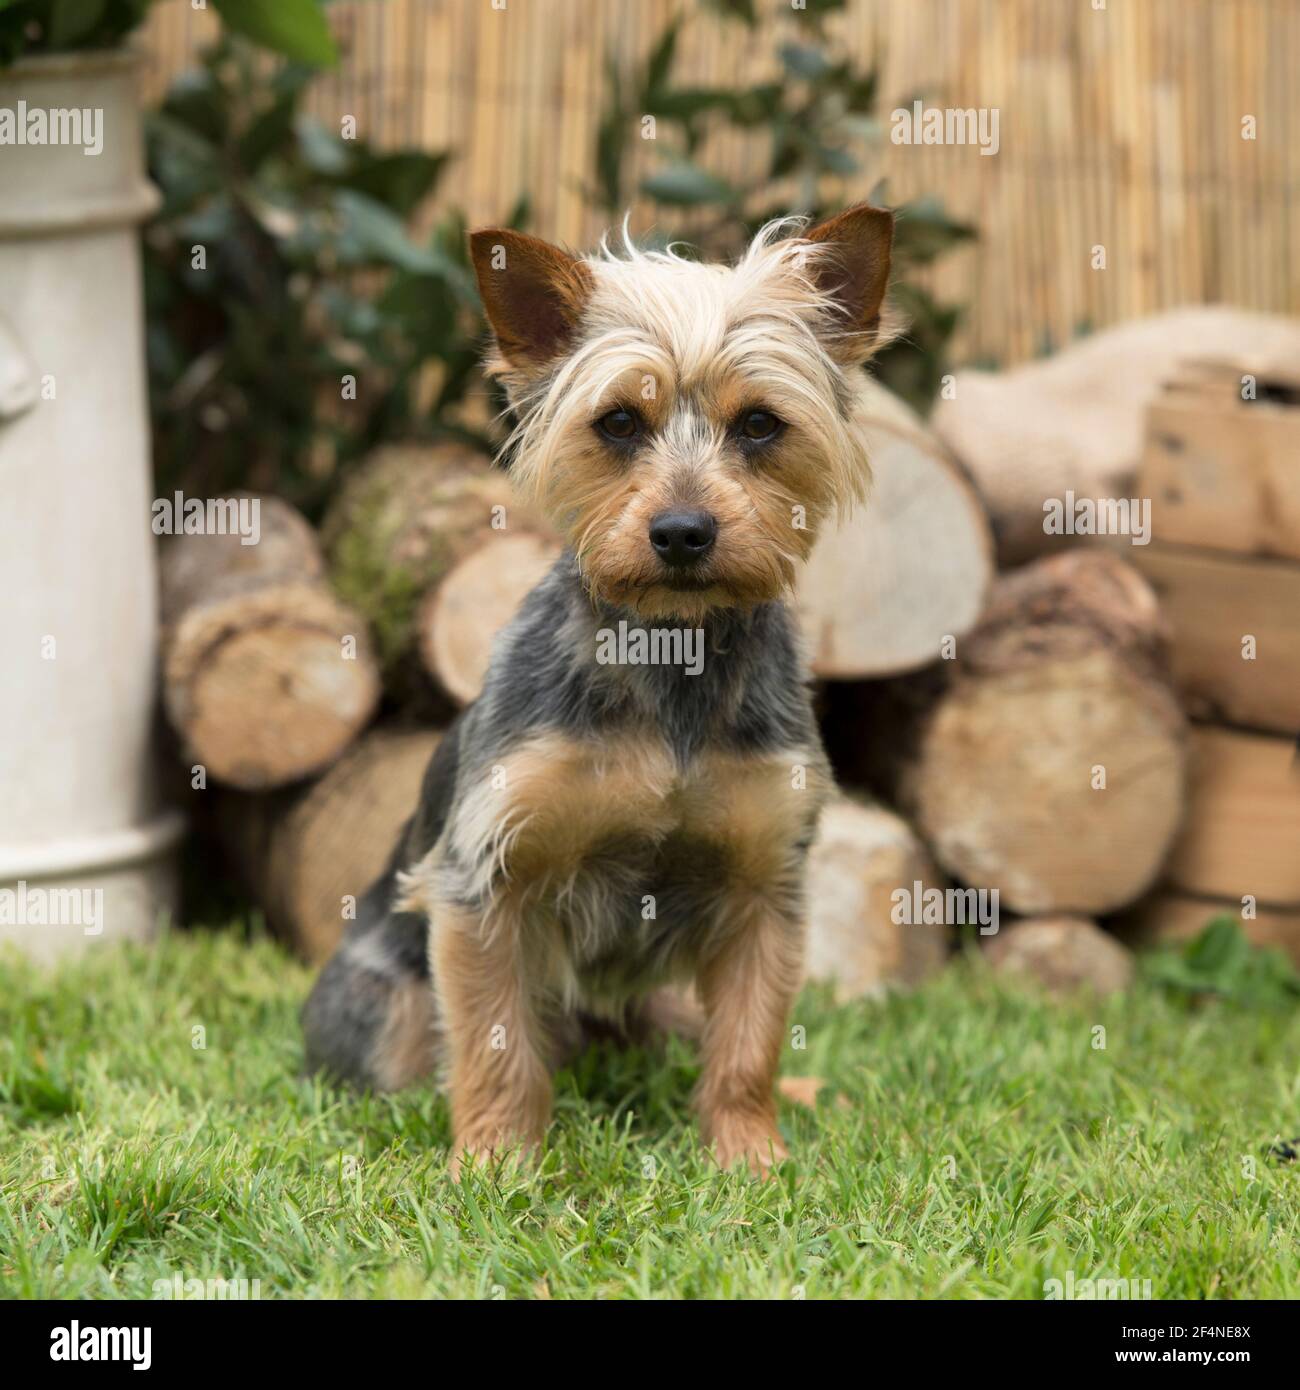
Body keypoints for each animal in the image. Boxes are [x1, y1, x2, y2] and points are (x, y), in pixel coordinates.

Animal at [303, 202, 895, 1173]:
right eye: (617, 422)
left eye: (760, 425)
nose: (683, 532)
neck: (672, 654)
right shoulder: (486, 883)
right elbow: (497, 1043)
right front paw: (495, 1166)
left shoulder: (764, 888)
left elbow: (749, 1044)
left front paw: (752, 1157)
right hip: (385, 1011)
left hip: (665, 1004)